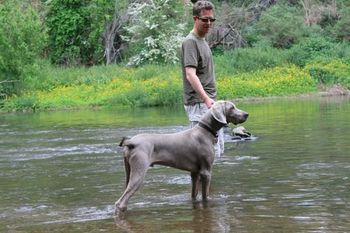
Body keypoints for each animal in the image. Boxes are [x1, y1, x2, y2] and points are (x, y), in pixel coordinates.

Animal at [116, 101, 247, 216]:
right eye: (232, 107)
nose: (247, 114)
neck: (205, 131)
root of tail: (131, 142)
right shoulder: (206, 172)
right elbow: (205, 196)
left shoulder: (195, 173)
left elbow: (194, 195)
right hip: (139, 171)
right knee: (120, 202)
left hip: (128, 171)